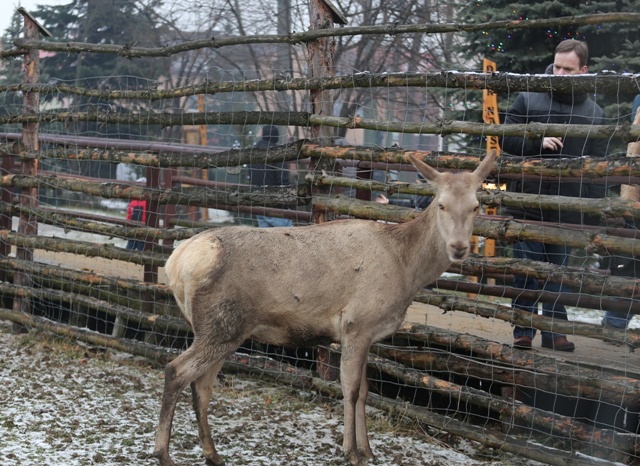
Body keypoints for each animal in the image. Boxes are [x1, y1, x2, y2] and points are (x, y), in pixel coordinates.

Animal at [152, 151, 498, 464]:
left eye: (476, 206)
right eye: (441, 204)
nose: (459, 248)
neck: (406, 270)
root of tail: (175, 263)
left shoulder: (368, 335)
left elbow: (366, 390)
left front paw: (369, 450)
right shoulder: (357, 323)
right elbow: (350, 389)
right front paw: (351, 452)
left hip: (221, 329)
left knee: (202, 385)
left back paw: (212, 454)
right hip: (221, 324)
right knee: (176, 370)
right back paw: (163, 453)